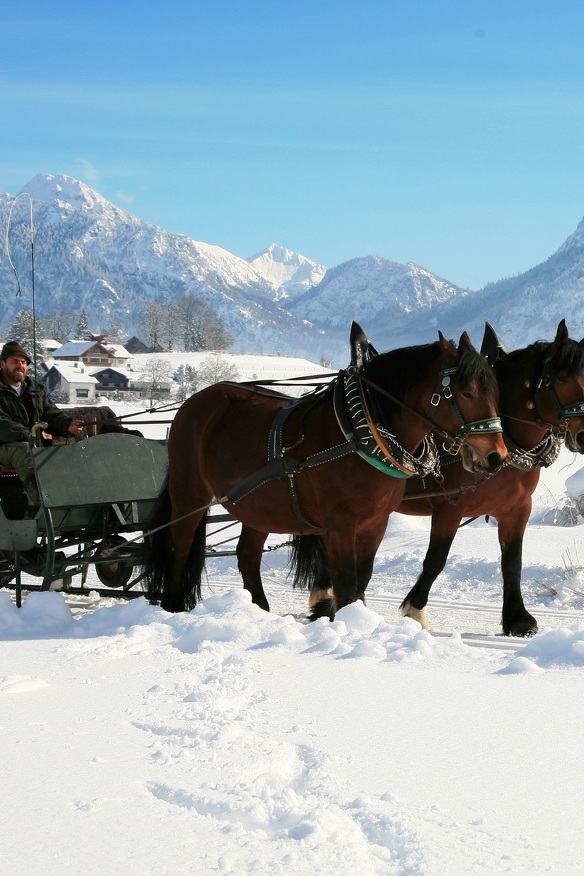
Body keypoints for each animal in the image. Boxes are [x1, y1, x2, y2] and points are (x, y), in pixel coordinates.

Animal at [141, 326, 506, 616]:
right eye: (467, 392)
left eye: (495, 391)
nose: (496, 456)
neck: (364, 428)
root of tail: (196, 401)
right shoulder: (339, 525)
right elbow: (344, 584)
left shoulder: (375, 524)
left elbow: (362, 580)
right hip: (189, 495)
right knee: (179, 545)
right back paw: (173, 606)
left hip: (256, 504)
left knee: (247, 555)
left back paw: (259, 611)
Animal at [400, 318, 584, 632]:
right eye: (561, 378)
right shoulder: (450, 507)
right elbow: (436, 559)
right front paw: (415, 610)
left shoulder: (516, 508)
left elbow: (512, 562)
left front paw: (517, 618)